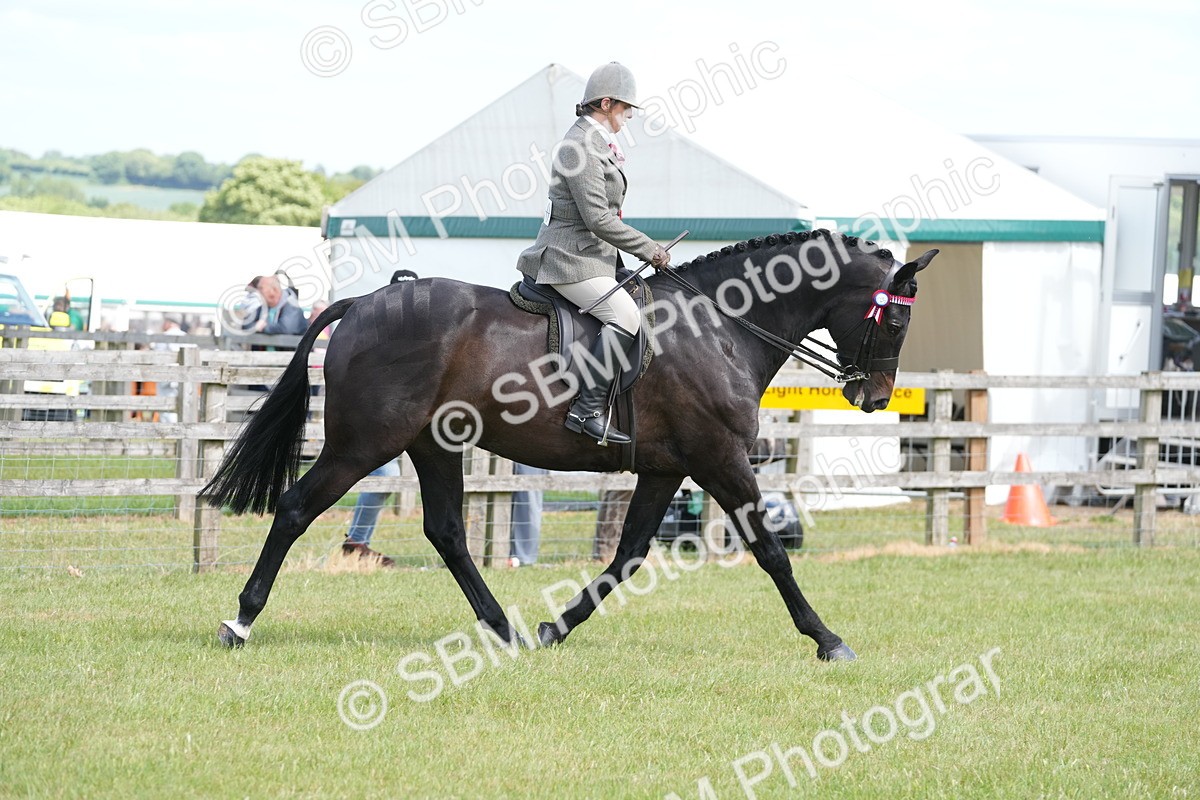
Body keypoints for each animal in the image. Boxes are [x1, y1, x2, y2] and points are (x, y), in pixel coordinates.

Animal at [202, 230, 937, 661]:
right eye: (898, 319)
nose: (875, 397)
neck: (721, 323)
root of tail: (359, 303)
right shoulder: (719, 460)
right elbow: (771, 551)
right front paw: (828, 639)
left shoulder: (666, 469)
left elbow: (630, 553)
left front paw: (558, 627)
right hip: (364, 444)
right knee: (296, 509)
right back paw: (240, 622)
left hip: (434, 444)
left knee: (447, 533)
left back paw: (506, 632)